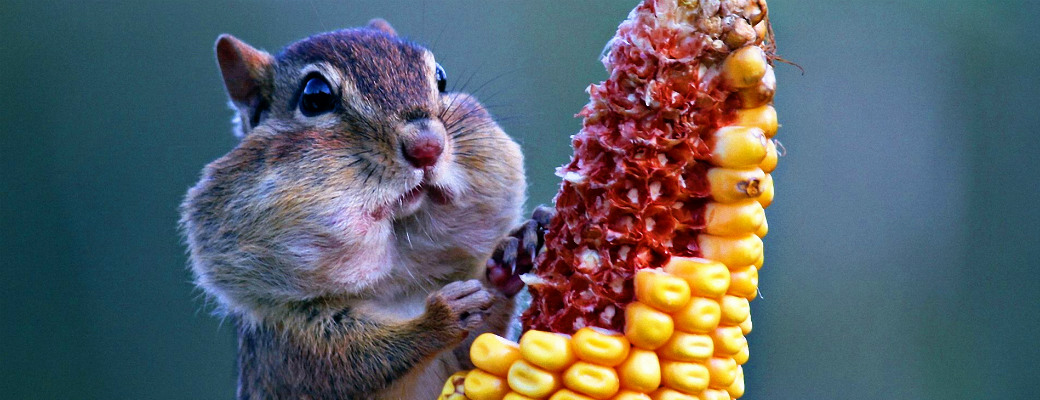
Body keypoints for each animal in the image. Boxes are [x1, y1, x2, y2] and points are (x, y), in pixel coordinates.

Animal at [180, 19, 548, 400]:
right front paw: (440, 318)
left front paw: (512, 253)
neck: (400, 278)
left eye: (441, 78)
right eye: (315, 96)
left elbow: (479, 349)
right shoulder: (289, 340)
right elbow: (352, 363)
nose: (427, 146)